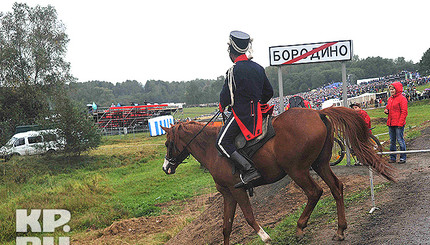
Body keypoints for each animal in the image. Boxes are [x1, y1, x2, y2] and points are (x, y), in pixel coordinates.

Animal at [161, 107, 396, 245]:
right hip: (320, 165)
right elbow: (226, 227)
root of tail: (317, 113)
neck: (212, 148)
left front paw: (265, 236)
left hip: (297, 170)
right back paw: (340, 230)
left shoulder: (238, 191)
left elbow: (249, 217)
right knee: (336, 188)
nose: (166, 168)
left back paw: (300, 227)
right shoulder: (228, 194)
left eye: (166, 143)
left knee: (315, 192)